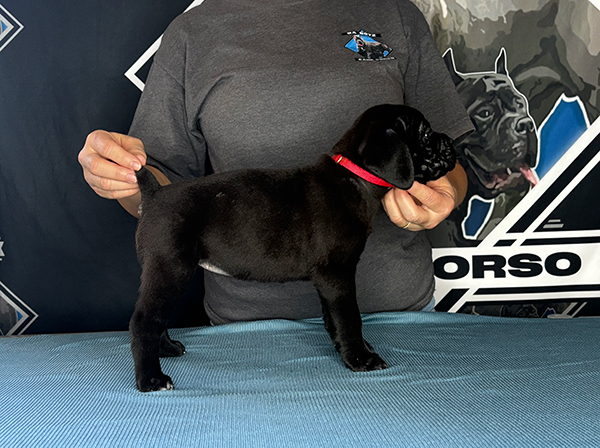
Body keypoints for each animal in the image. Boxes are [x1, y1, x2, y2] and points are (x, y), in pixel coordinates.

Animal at [130, 104, 456, 392]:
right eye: (425, 134)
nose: (451, 142)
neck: (354, 177)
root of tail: (155, 193)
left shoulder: (327, 280)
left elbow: (334, 318)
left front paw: (349, 348)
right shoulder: (337, 274)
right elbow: (350, 317)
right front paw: (360, 358)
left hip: (163, 271)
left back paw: (167, 349)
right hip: (171, 268)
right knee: (145, 320)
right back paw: (152, 379)